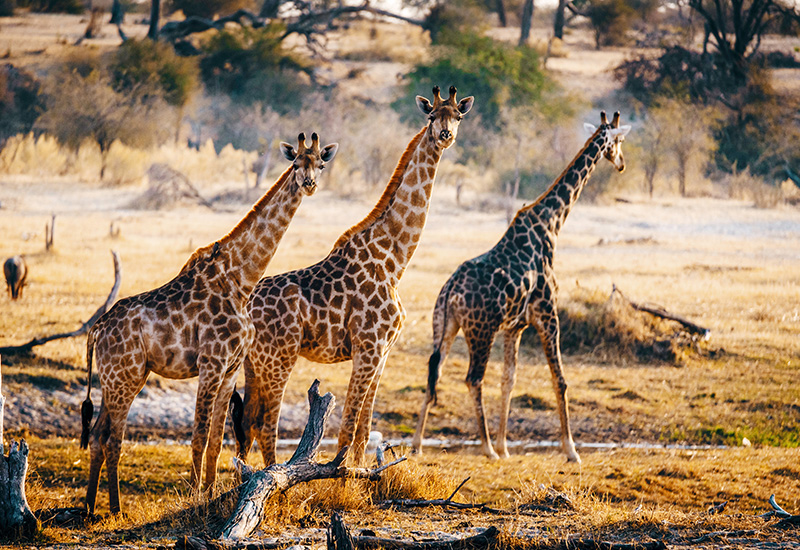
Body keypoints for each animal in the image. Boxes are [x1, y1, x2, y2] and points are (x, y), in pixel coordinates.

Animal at [83, 134, 340, 516]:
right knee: (113, 437)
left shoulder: (230, 368)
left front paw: (209, 491)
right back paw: (114, 509)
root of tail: (96, 330)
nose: (309, 184)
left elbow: (217, 440)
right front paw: (193, 496)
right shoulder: (211, 362)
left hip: (122, 377)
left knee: (99, 435)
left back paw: (89, 508)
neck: (241, 280)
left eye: (321, 164)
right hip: (123, 378)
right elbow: (199, 436)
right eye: (296, 163)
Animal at [234, 88, 472, 468]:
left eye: (458, 116)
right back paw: (271, 477)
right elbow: (347, 429)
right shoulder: (368, 347)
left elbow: (363, 429)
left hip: (254, 364)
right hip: (278, 359)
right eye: (431, 116)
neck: (394, 261)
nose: (445, 136)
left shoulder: (383, 352)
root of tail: (245, 305)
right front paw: (339, 477)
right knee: (267, 426)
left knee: (247, 422)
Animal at [412, 113, 632, 466]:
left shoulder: (515, 326)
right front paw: (570, 450)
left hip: (444, 326)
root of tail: (451, 292)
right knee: (472, 378)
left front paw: (505, 446)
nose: (621, 163)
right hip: (480, 331)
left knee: (436, 372)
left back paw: (418, 443)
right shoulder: (547, 315)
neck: (552, 224)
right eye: (619, 141)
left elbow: (509, 381)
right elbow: (560, 380)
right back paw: (486, 448)